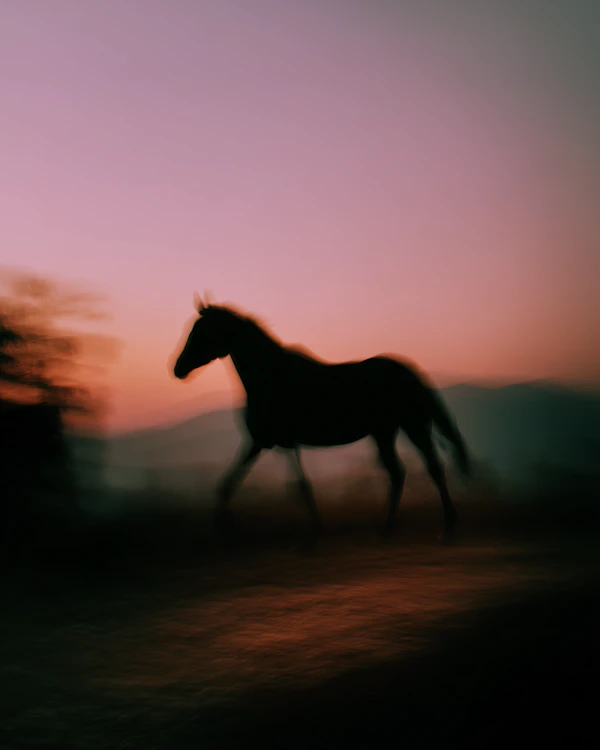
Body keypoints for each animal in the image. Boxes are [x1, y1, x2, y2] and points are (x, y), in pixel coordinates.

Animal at [173, 295, 471, 539]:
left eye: (200, 332)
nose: (178, 369)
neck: (270, 378)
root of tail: (409, 372)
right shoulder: (265, 442)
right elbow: (230, 483)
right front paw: (221, 526)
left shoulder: (278, 442)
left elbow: (301, 486)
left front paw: (316, 531)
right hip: (385, 433)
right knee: (398, 472)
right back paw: (388, 528)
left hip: (412, 427)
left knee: (432, 467)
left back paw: (447, 523)